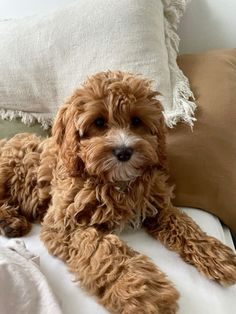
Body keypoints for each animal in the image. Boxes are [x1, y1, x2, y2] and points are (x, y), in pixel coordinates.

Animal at [0, 72, 236, 314]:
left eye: (136, 121)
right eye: (99, 122)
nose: (124, 152)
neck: (117, 182)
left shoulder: (158, 206)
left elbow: (184, 225)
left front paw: (216, 254)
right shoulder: (63, 224)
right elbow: (102, 251)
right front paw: (143, 293)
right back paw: (11, 221)